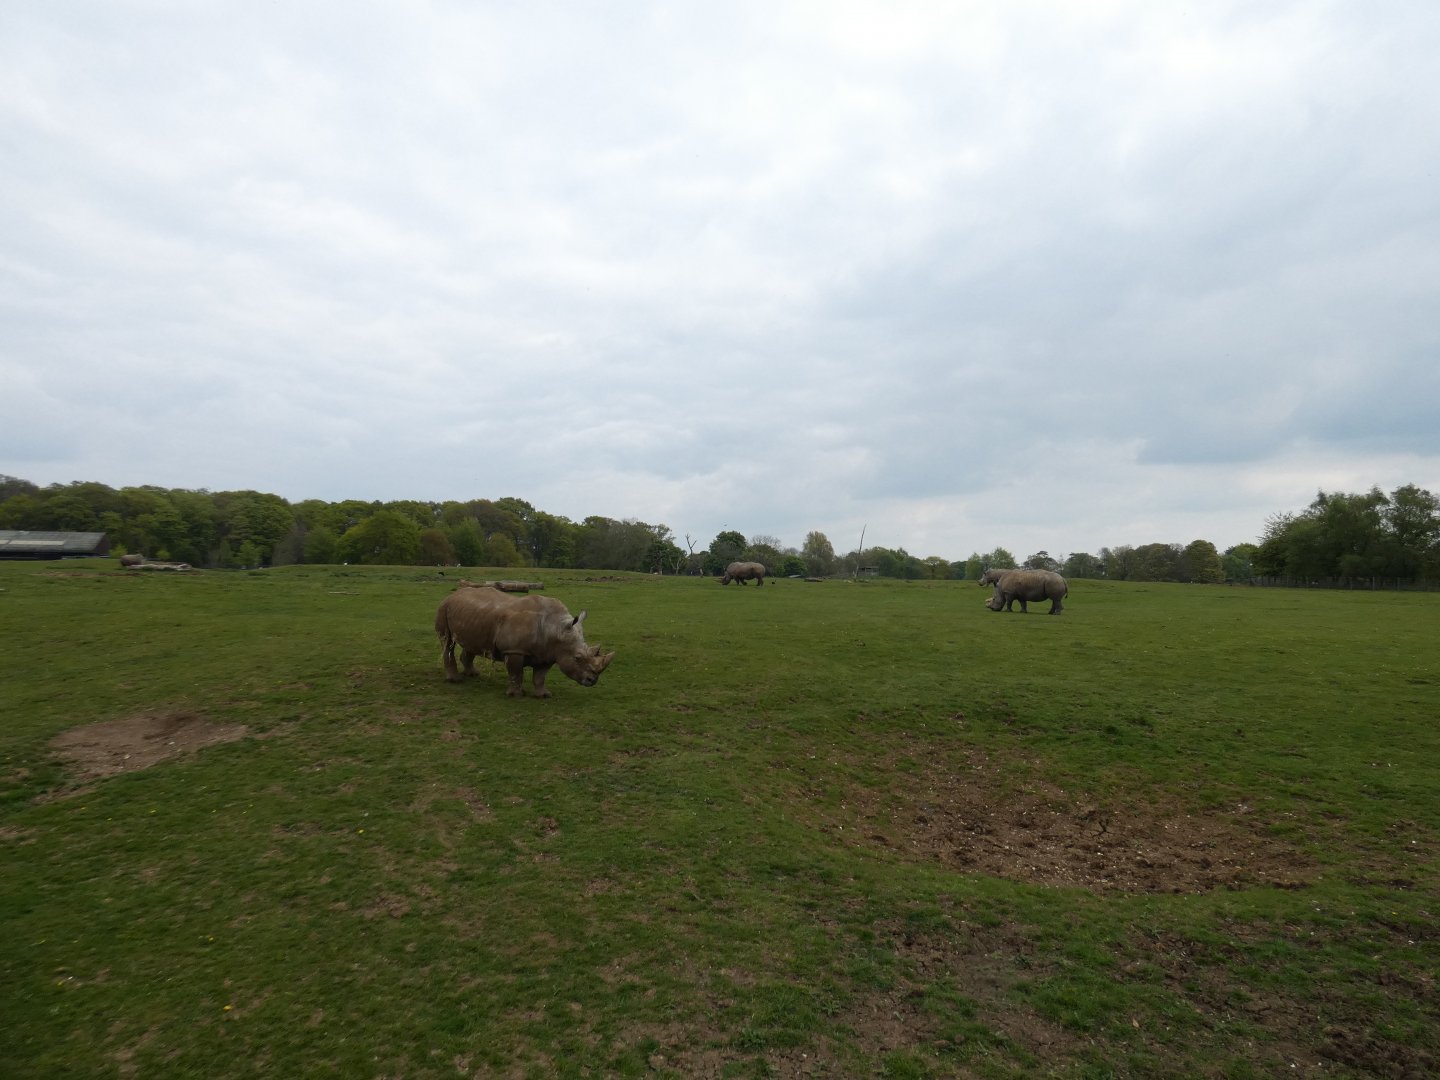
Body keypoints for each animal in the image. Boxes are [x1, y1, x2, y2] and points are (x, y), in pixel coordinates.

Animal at [434, 586, 614, 697]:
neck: (555, 628)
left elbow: (540, 676)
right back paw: (455, 680)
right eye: (577, 658)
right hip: (443, 607)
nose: (592, 680)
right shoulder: (514, 650)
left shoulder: (548, 653)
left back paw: (473, 674)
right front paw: (516, 695)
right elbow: (516, 673)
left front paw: (543, 695)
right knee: (447, 641)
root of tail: (453, 594)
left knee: (471, 644)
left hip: (473, 615)